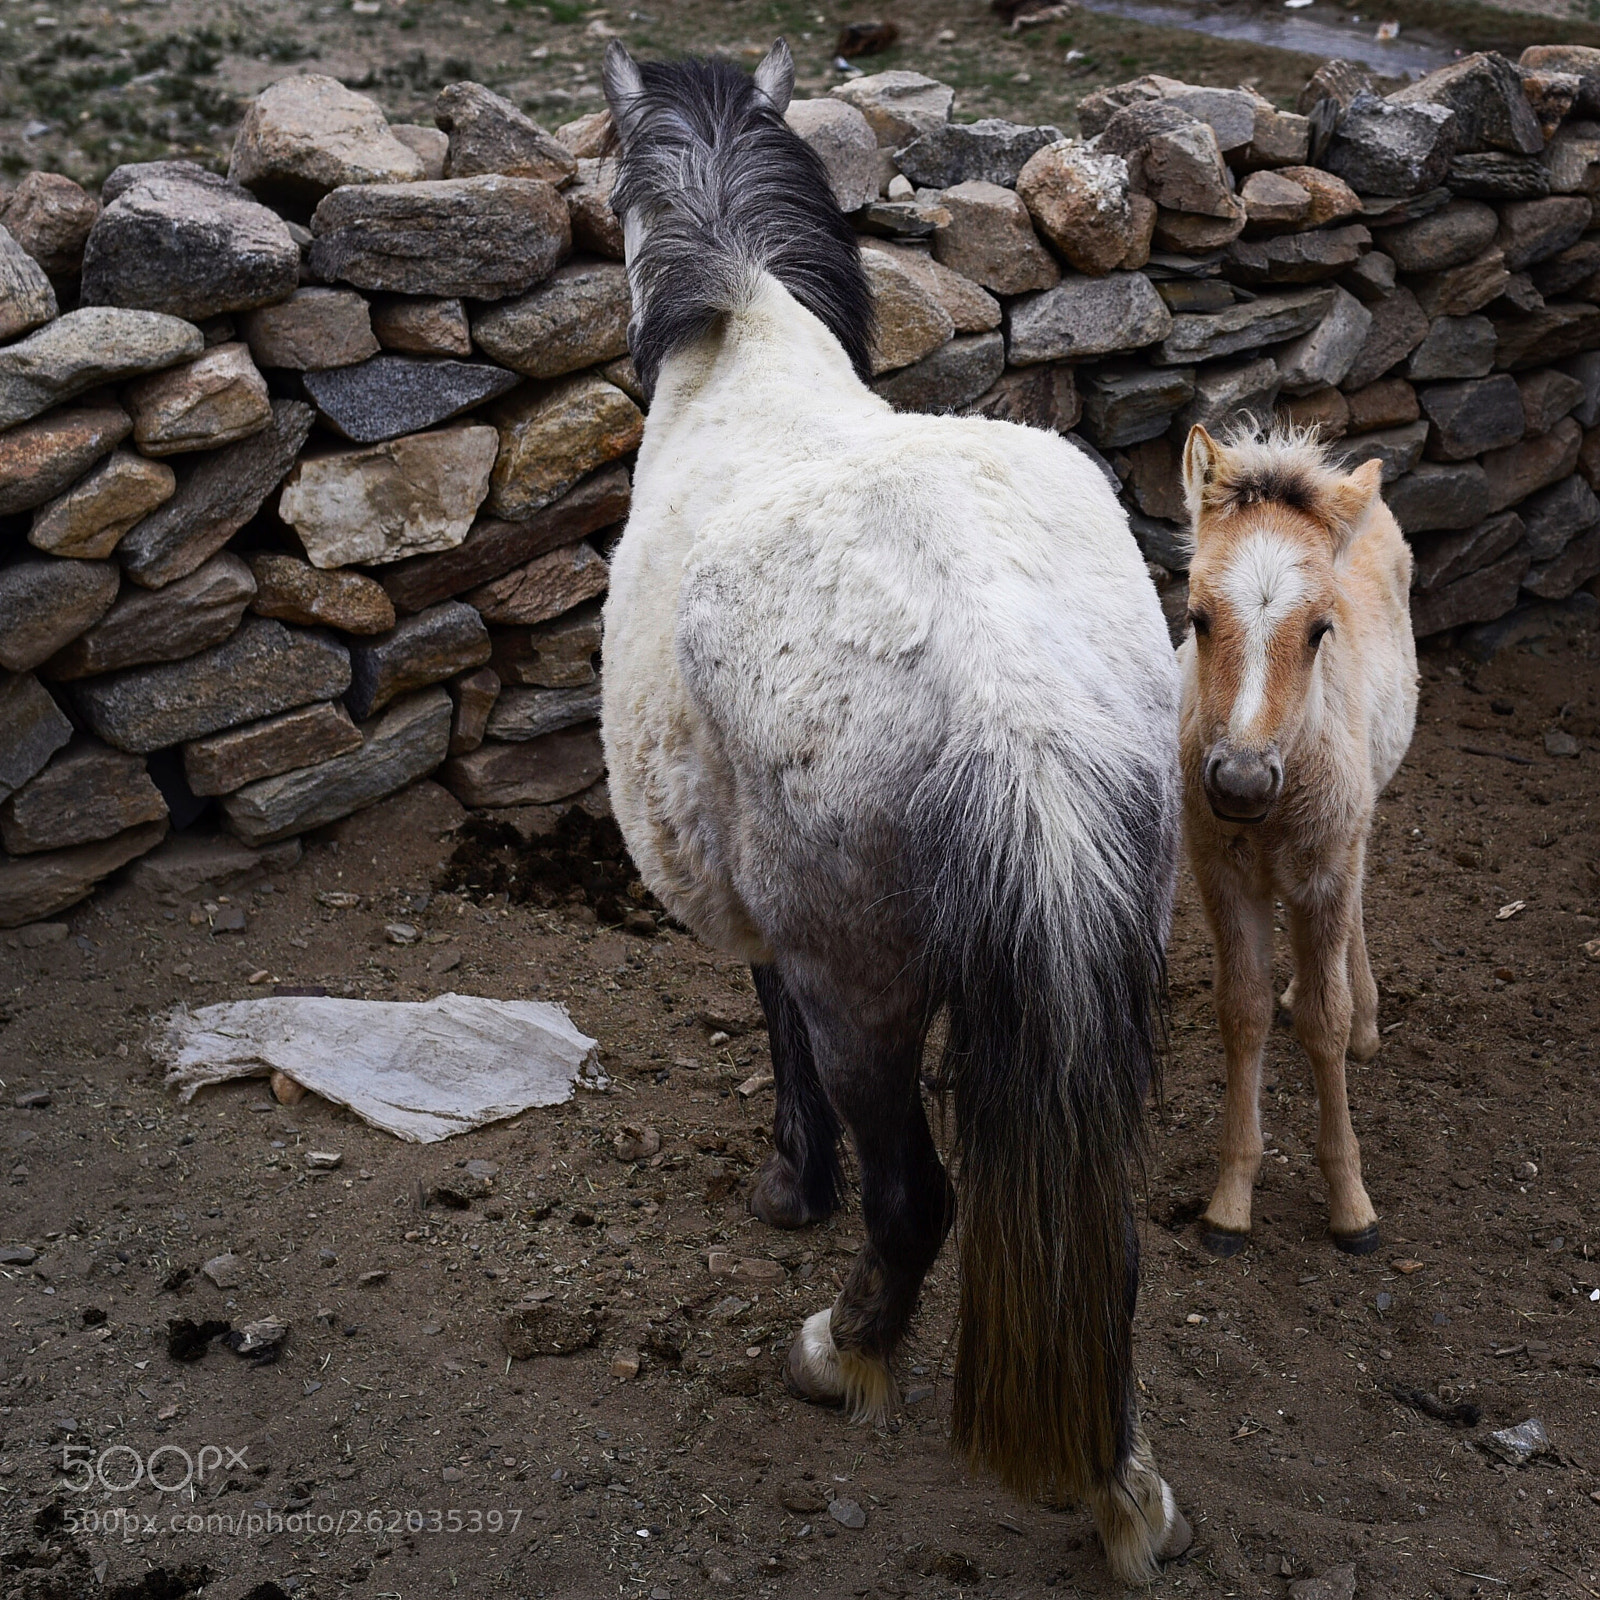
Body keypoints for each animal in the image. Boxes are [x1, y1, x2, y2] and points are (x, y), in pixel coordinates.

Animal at [598, 39, 1191, 1578]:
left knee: (917, 1197)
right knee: (1092, 1228)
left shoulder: (783, 939)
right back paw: (1123, 1486)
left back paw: (841, 1352)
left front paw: (789, 1187)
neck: (744, 341)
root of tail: (1006, 691)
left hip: (864, 987)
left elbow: (770, 1023)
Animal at [1177, 425, 1417, 1258]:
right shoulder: (1221, 872)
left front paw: (1352, 1206)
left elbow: (1325, 1019)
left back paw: (1369, 1019)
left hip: (1354, 822)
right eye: (1196, 617)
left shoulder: (1325, 867)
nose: (1241, 783)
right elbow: (1242, 1010)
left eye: (1320, 630)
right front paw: (1229, 1202)